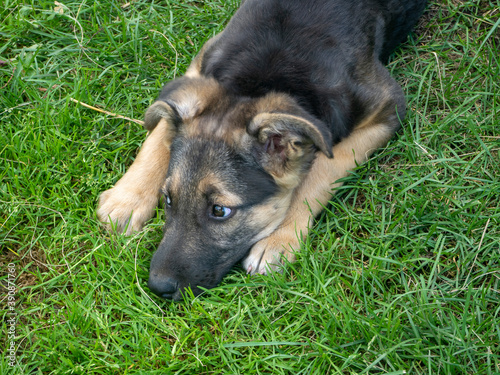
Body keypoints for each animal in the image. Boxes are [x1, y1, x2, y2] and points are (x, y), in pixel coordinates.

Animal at [96, 0, 426, 300]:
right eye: (167, 198)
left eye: (220, 211)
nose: (158, 287)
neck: (263, 77)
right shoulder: (202, 62)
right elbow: (162, 128)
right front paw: (128, 198)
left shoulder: (387, 106)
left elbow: (321, 170)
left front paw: (280, 239)